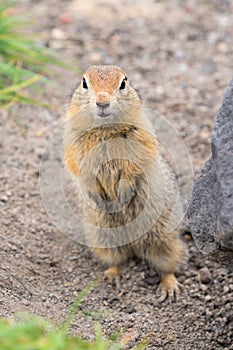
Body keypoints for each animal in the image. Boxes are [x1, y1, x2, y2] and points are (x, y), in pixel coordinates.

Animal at [62, 67, 187, 302]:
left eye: (123, 83)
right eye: (84, 83)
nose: (102, 102)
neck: (104, 129)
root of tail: (133, 245)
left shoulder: (141, 136)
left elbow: (135, 164)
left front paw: (123, 191)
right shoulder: (72, 143)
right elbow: (78, 167)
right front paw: (95, 193)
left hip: (163, 236)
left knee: (170, 262)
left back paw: (169, 287)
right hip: (102, 237)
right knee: (116, 259)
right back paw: (112, 276)